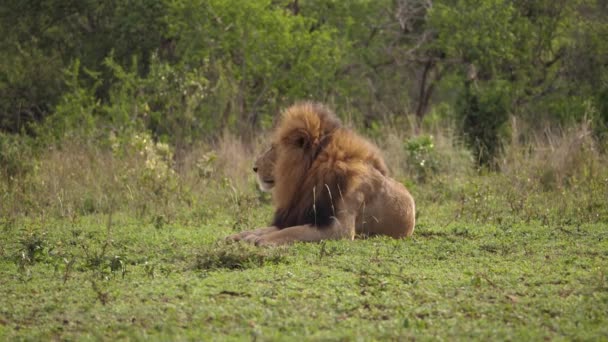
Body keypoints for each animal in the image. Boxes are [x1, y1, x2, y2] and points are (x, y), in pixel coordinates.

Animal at [226, 101, 416, 246]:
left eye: (273, 148)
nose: (254, 167)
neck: (307, 178)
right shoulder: (303, 212)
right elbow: (271, 228)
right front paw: (241, 235)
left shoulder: (340, 229)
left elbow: (292, 231)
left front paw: (261, 240)